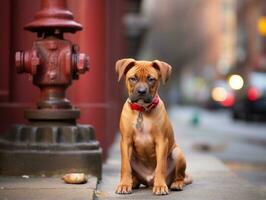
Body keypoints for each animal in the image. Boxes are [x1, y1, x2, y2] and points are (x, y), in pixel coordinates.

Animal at [114, 58, 191, 195]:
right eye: (132, 78)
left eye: (151, 79)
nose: (141, 91)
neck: (142, 111)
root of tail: (149, 181)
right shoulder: (126, 141)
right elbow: (125, 166)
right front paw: (124, 185)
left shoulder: (161, 142)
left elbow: (160, 166)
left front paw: (160, 186)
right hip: (133, 157)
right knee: (135, 175)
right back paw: (132, 182)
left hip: (177, 153)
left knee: (180, 176)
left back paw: (176, 184)